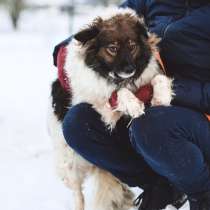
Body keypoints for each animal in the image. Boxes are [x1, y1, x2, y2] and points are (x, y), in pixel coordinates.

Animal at [48, 7, 173, 210]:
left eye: (132, 46)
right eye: (112, 48)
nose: (129, 69)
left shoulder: (148, 76)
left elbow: (159, 78)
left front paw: (161, 97)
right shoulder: (99, 103)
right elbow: (116, 93)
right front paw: (132, 103)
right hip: (70, 165)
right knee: (77, 194)